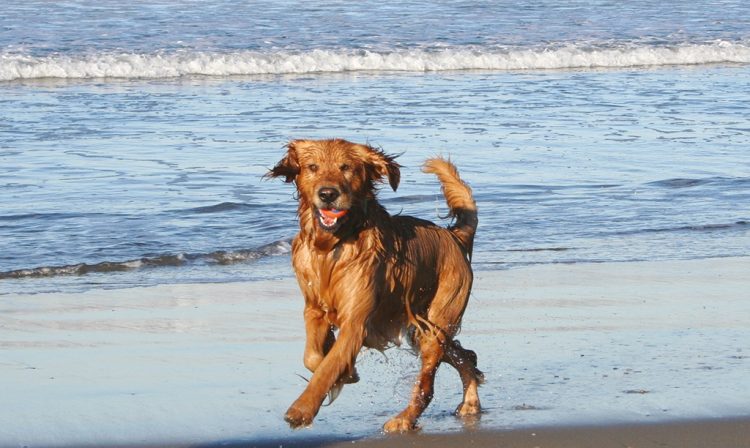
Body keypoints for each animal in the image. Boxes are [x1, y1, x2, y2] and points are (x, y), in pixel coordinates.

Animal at [268, 138, 484, 432]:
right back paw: (470, 403)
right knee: (467, 356)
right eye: (312, 167)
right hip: (422, 327)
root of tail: (453, 236)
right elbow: (313, 358)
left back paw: (404, 419)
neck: (332, 247)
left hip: (438, 321)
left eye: (346, 168)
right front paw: (347, 373)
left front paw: (302, 410)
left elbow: (328, 367)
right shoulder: (313, 309)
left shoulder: (356, 321)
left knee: (427, 386)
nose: (328, 194)